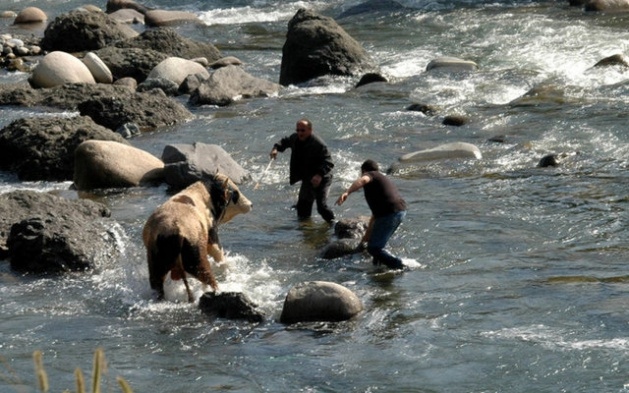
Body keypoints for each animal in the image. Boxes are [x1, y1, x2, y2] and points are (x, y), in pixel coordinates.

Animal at [141, 173, 251, 302]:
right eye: (235, 193)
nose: (250, 204)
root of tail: (174, 230)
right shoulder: (212, 234)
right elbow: (219, 255)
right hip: (196, 259)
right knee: (210, 280)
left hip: (157, 265)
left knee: (157, 286)